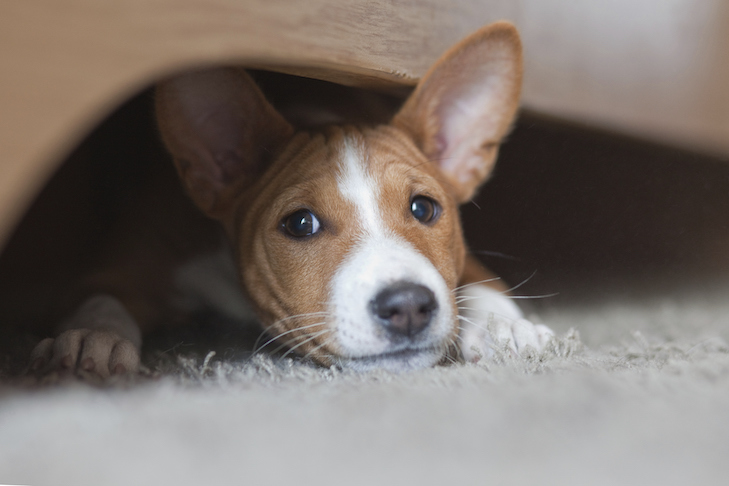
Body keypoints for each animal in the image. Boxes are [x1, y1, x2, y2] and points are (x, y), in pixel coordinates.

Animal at [27, 21, 552, 376]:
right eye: (300, 223)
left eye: (424, 208)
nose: (408, 306)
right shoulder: (118, 264)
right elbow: (100, 299)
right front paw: (92, 339)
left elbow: (479, 280)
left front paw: (505, 325)